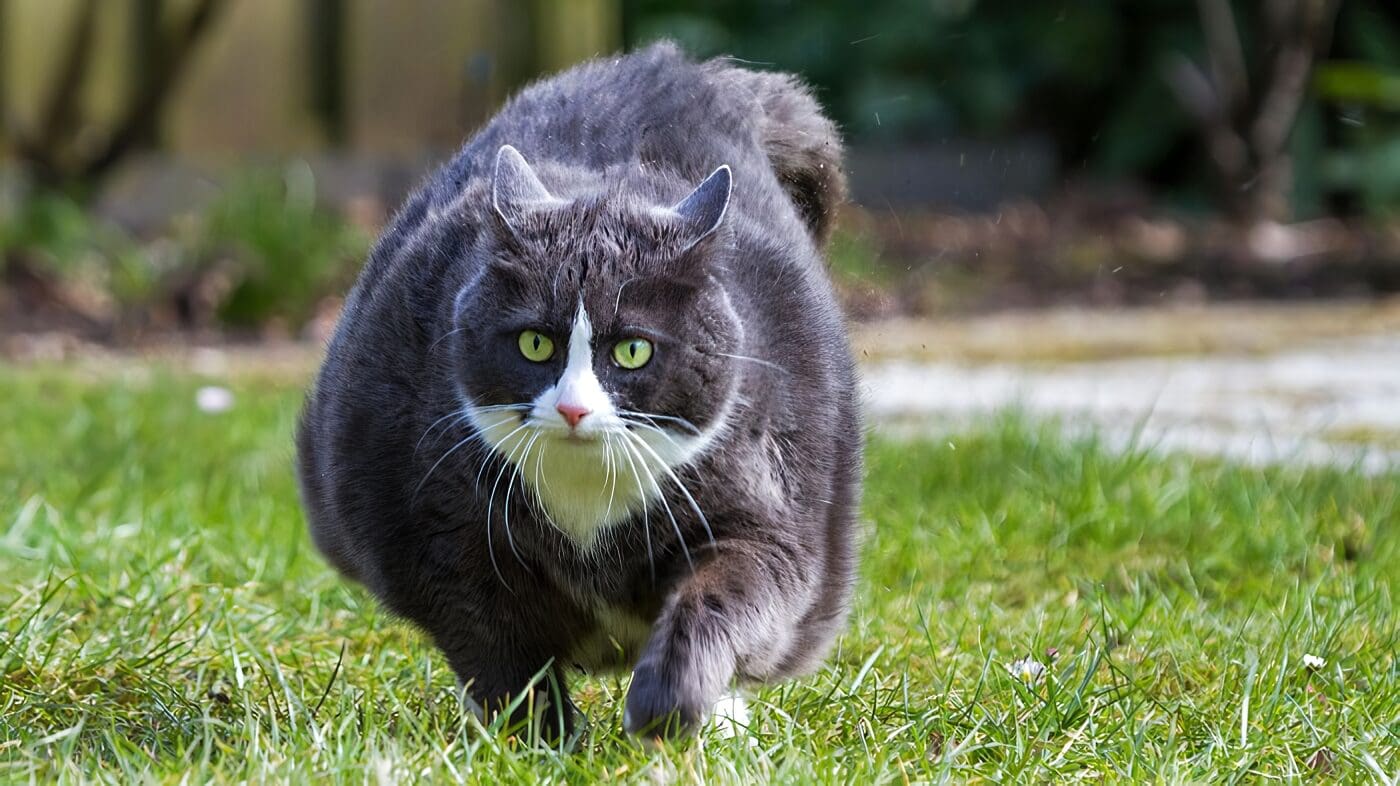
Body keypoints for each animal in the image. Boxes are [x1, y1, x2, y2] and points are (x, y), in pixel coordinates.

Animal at [301, 41, 856, 739]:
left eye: (634, 350)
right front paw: (541, 740)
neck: (588, 503)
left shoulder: (765, 516)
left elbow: (732, 593)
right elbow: (497, 650)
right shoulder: (437, 538)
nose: (572, 407)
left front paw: (667, 706)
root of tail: (689, 72)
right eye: (535, 343)